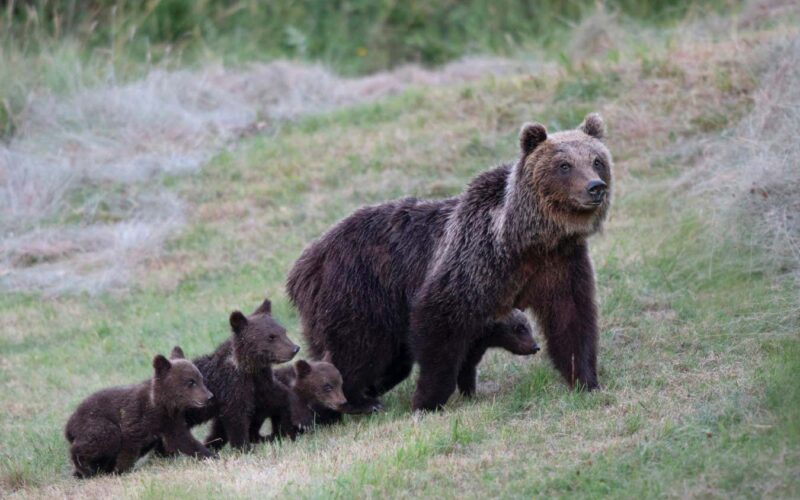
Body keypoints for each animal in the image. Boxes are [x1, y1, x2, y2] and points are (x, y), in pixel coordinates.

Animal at [288, 113, 612, 410]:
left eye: (596, 160)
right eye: (564, 165)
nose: (595, 187)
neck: (526, 240)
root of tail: (305, 263)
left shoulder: (560, 264)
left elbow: (572, 318)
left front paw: (585, 380)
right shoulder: (474, 262)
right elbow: (439, 326)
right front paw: (427, 400)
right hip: (358, 293)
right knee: (355, 349)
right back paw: (359, 400)